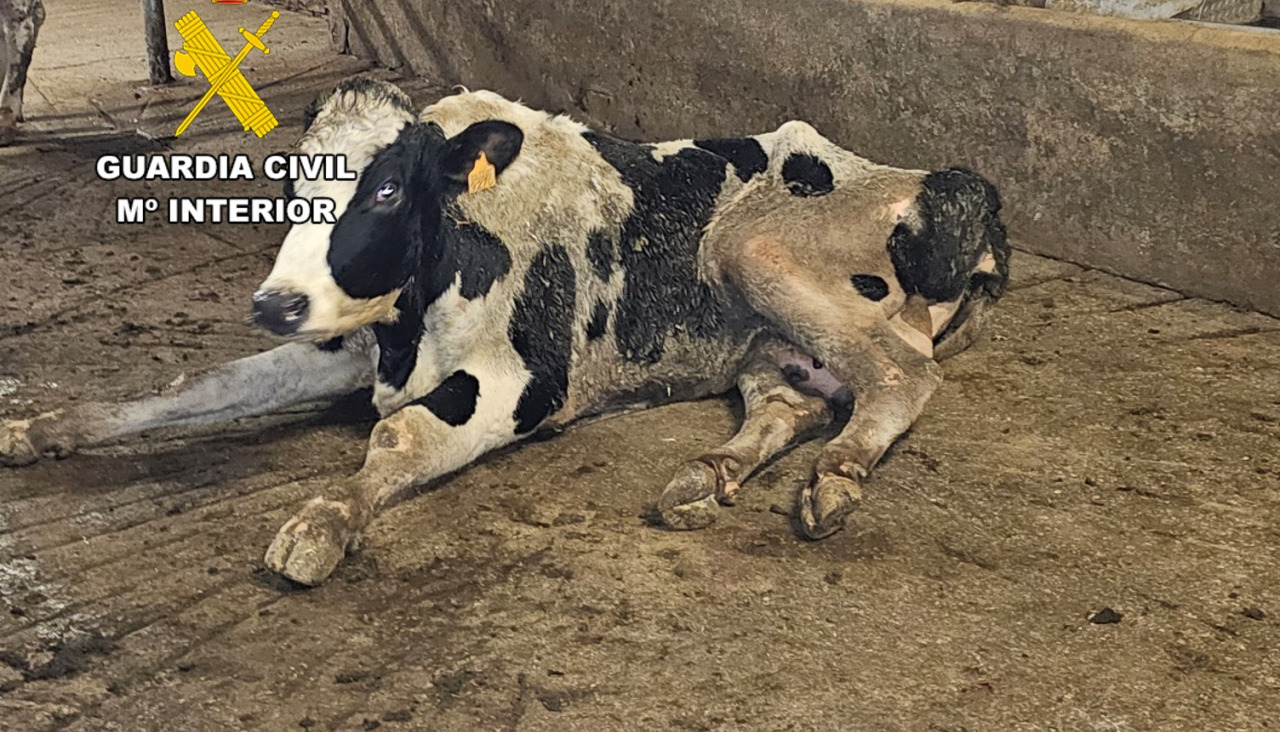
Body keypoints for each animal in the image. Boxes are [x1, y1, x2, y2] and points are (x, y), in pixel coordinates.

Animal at [0, 76, 1011, 586]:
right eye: (290, 180)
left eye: (385, 186)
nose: (274, 303)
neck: (410, 320)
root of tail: (946, 184)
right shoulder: (342, 343)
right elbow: (191, 389)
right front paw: (38, 428)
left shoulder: (526, 383)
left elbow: (400, 436)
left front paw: (322, 522)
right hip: (766, 343)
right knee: (791, 403)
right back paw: (706, 474)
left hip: (755, 250)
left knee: (903, 377)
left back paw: (835, 479)